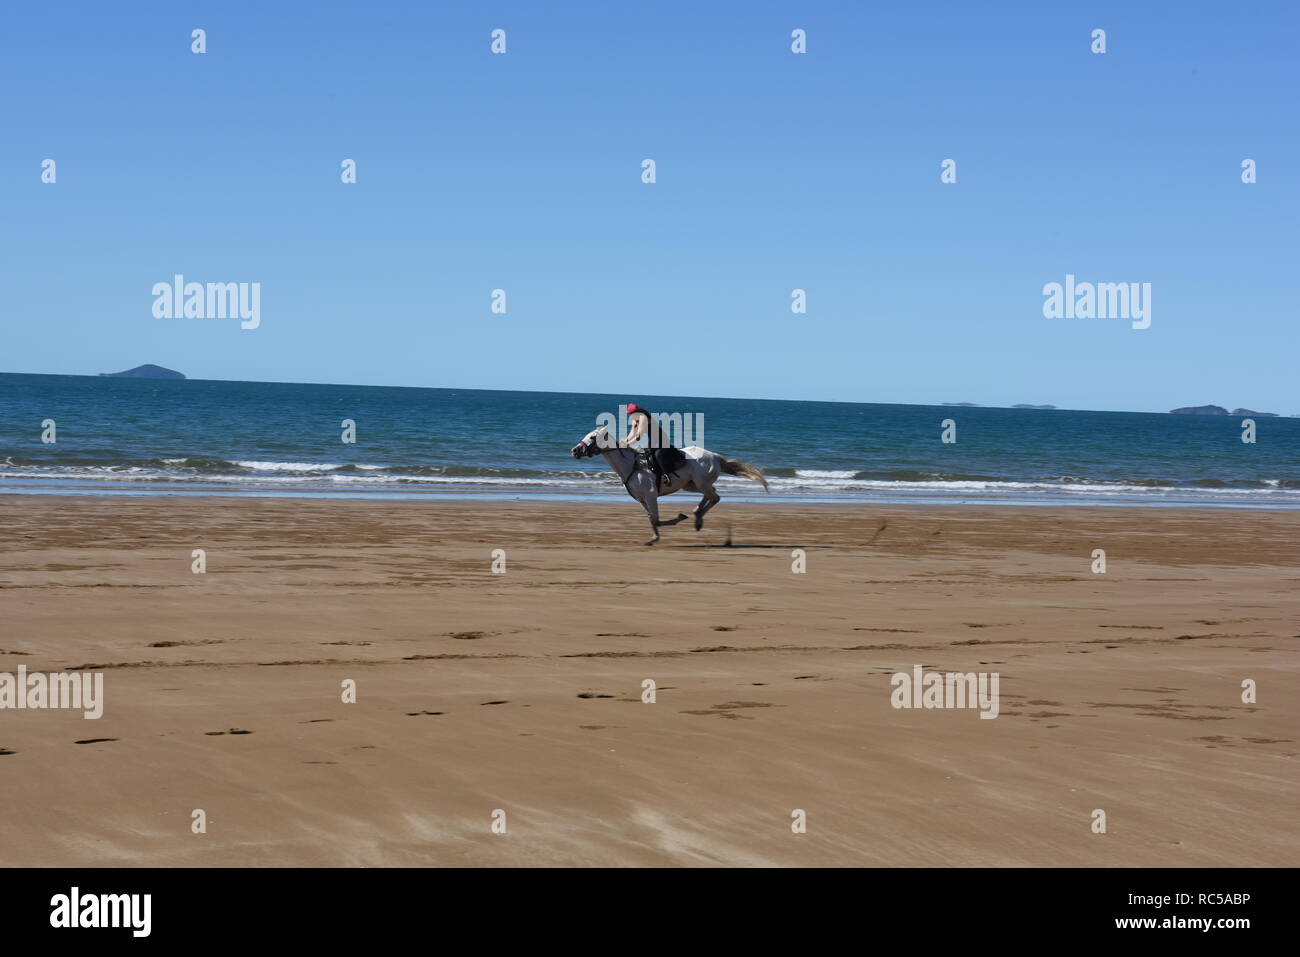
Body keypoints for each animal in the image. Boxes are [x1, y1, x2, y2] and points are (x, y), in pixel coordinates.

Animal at [571, 425, 769, 545]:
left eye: (592, 437)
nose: (574, 450)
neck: (632, 466)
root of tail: (715, 456)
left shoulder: (651, 496)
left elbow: (656, 519)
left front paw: (676, 520)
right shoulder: (642, 499)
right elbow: (651, 519)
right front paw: (654, 537)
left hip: (700, 483)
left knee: (715, 497)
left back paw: (697, 518)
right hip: (691, 484)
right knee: (711, 495)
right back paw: (697, 515)